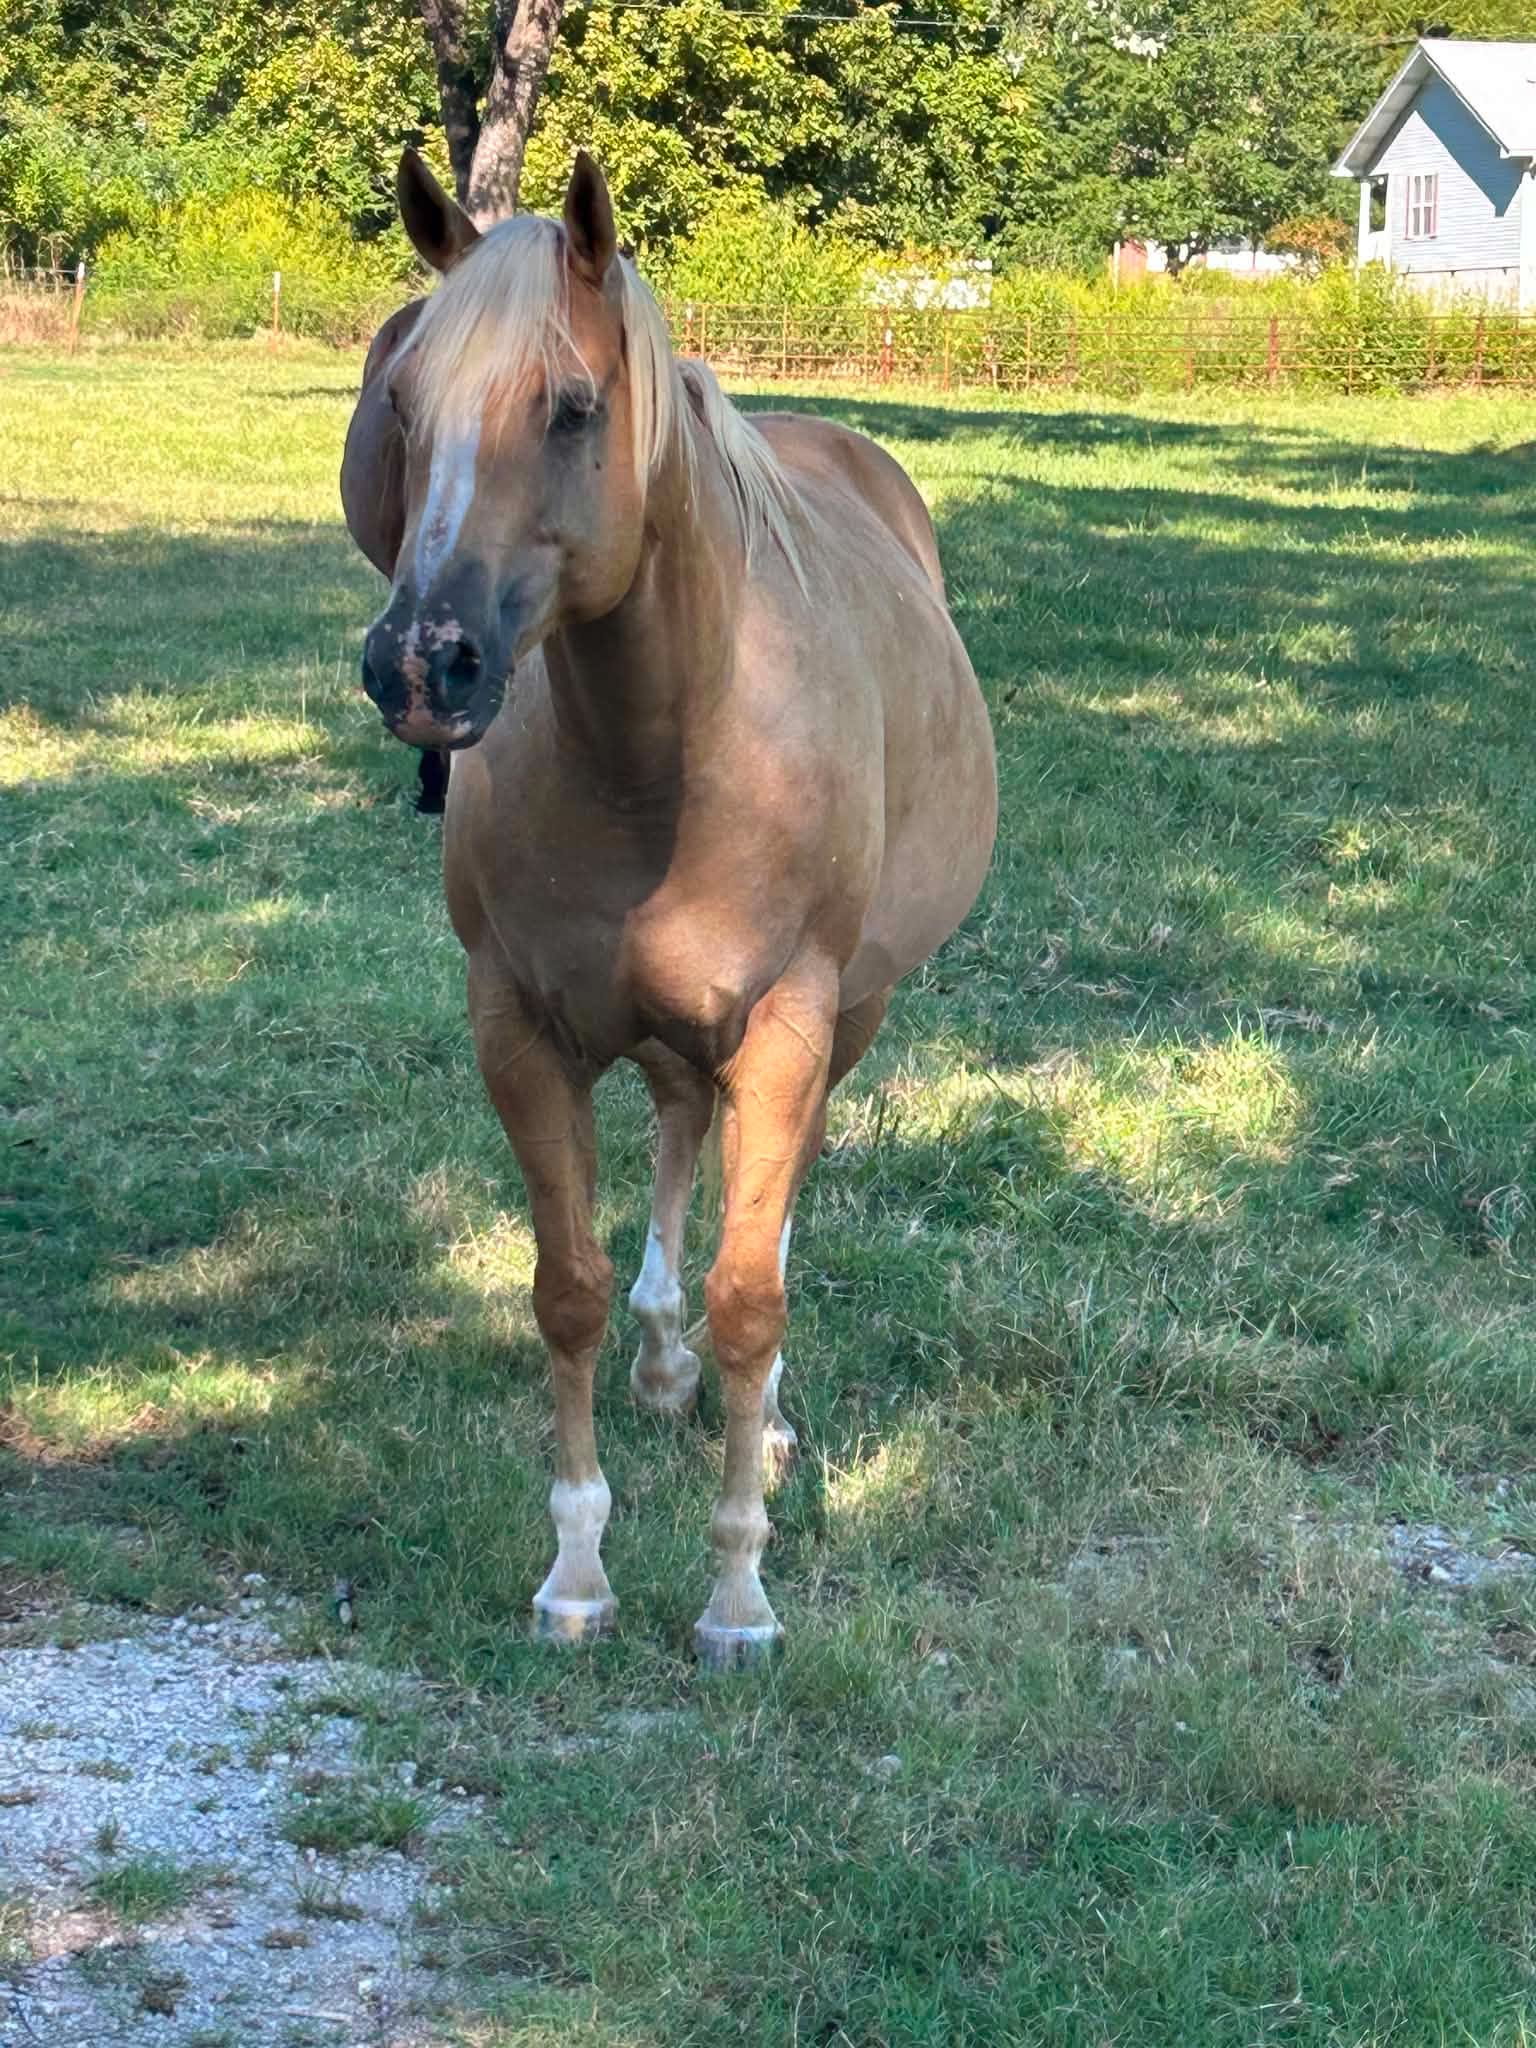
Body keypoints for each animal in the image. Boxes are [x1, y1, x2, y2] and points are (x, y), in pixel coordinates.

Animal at [342, 148, 997, 1667]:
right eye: (405, 400)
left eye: (572, 407)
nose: (420, 665)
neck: (670, 746)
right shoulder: (521, 1030)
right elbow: (567, 1286)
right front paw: (577, 1572)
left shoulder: (790, 1022)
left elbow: (753, 1292)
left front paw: (738, 1593)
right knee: (681, 1143)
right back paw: (658, 1360)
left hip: (852, 1014)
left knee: (775, 1200)